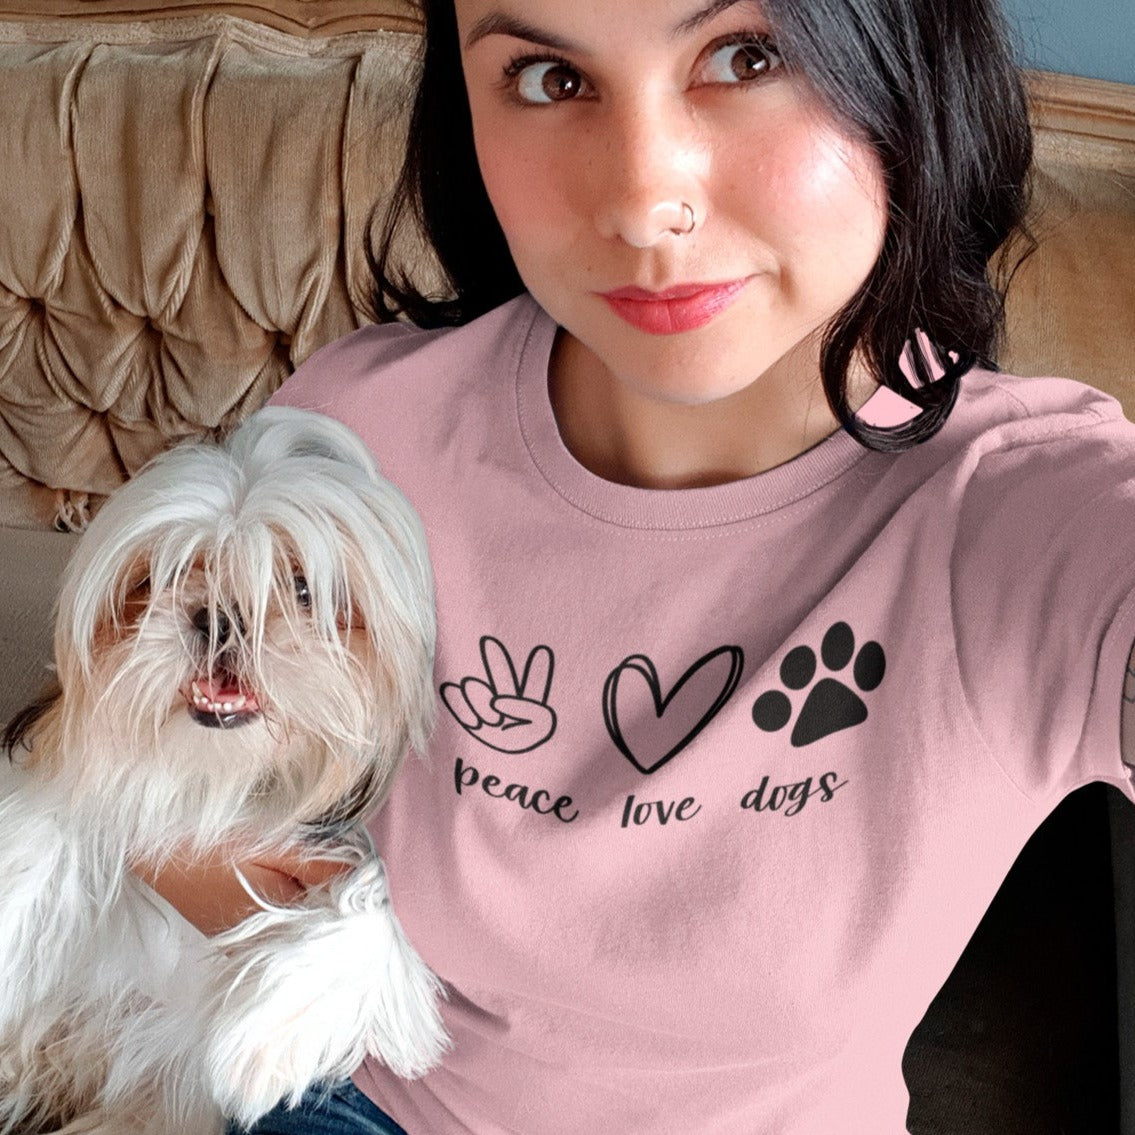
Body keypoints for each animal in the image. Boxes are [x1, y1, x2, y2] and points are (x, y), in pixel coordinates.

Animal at [0, 408, 447, 1135]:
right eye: (156, 578)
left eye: (302, 589)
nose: (218, 619)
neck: (218, 781)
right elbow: (38, 834)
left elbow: (375, 892)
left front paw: (273, 1033)